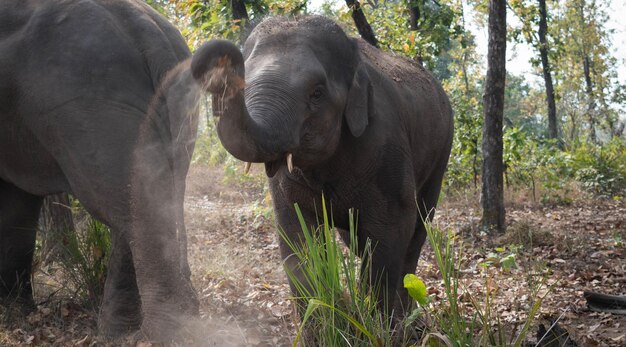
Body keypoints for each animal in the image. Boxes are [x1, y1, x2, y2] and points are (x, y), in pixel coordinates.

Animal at [191, 14, 454, 320]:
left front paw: (378, 323)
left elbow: (393, 226)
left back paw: (406, 313)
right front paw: (319, 320)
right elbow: (295, 231)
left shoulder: (387, 145)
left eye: (316, 93)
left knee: (420, 225)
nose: (220, 59)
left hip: (442, 151)